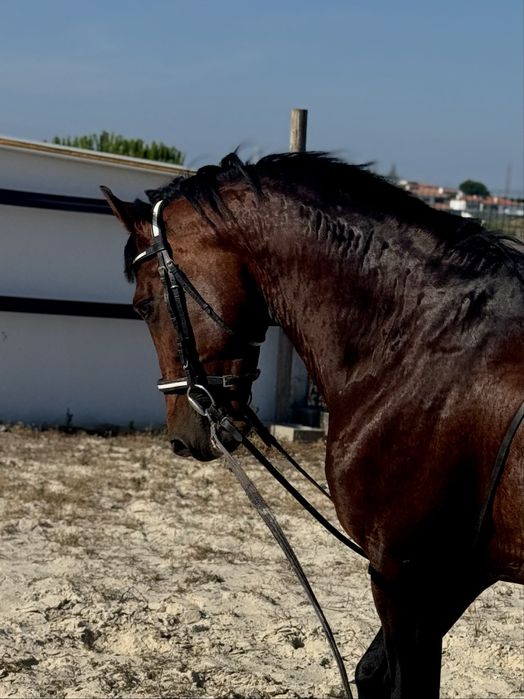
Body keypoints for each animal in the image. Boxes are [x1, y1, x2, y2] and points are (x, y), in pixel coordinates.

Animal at [102, 151, 524, 699]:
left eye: (145, 305)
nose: (182, 436)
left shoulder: (405, 573)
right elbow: (370, 671)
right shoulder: (457, 571)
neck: (432, 351)